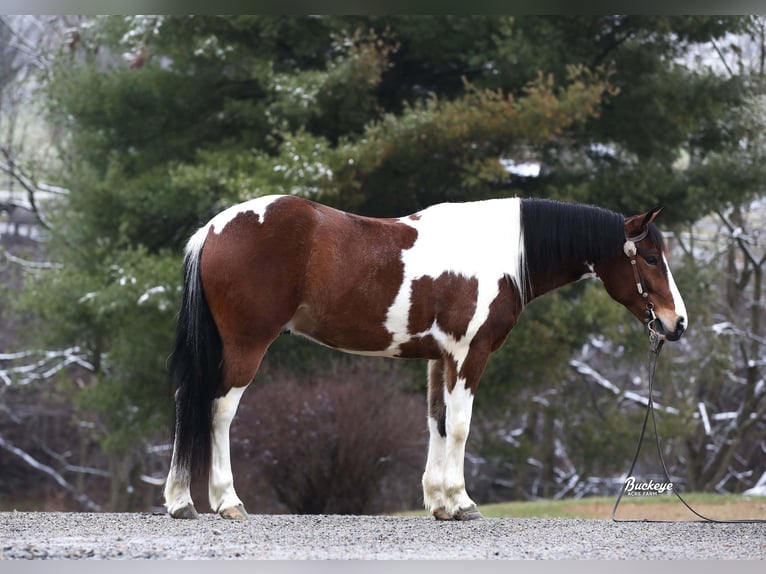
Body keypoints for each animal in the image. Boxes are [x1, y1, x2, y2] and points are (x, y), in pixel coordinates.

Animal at [162, 196, 688, 524]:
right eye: (650, 258)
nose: (677, 323)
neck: (498, 253)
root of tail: (213, 230)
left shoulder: (441, 358)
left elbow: (438, 421)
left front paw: (439, 503)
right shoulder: (469, 353)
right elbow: (460, 426)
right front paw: (462, 501)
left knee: (187, 403)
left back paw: (181, 502)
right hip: (246, 345)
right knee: (218, 411)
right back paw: (227, 501)